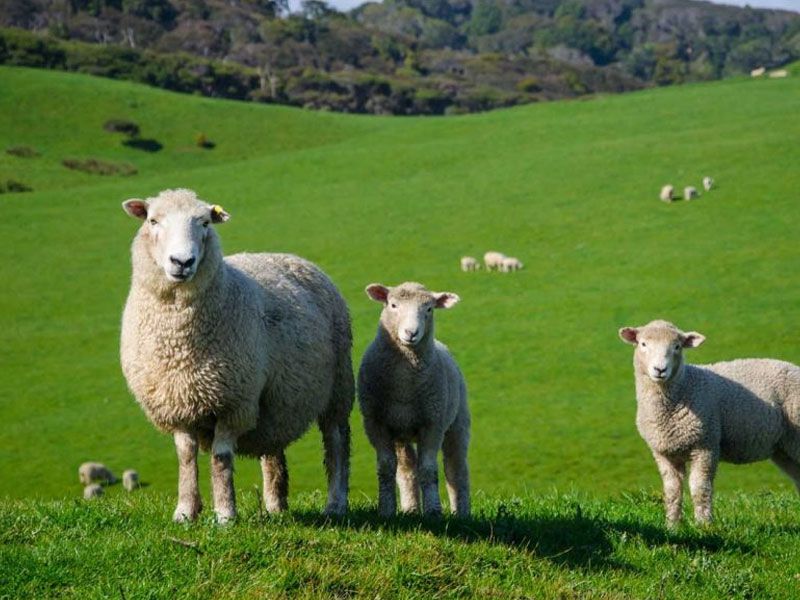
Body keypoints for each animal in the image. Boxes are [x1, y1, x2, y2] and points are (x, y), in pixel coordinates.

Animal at [120, 188, 354, 523]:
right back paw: (275, 506)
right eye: (153, 220)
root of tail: (291, 257)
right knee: (274, 449)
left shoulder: (233, 401)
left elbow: (220, 459)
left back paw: (336, 503)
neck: (179, 342)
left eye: (204, 222)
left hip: (338, 388)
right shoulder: (176, 403)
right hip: (276, 402)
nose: (182, 261)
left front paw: (225, 515)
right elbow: (186, 457)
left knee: (336, 442)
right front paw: (185, 511)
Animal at [358, 282, 471, 517]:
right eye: (393, 305)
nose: (411, 333)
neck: (404, 387)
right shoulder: (376, 423)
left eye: (429, 309)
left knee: (456, 468)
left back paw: (462, 512)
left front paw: (433, 512)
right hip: (402, 433)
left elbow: (428, 469)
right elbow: (386, 467)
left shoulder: (433, 423)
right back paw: (410, 508)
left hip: (457, 422)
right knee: (407, 469)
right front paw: (386, 510)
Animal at [619, 320, 800, 526]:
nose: (660, 370)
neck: (684, 386)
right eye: (643, 344)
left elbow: (700, 487)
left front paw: (703, 525)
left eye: (677, 346)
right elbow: (672, 491)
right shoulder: (664, 452)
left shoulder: (706, 444)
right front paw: (672, 525)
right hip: (784, 449)